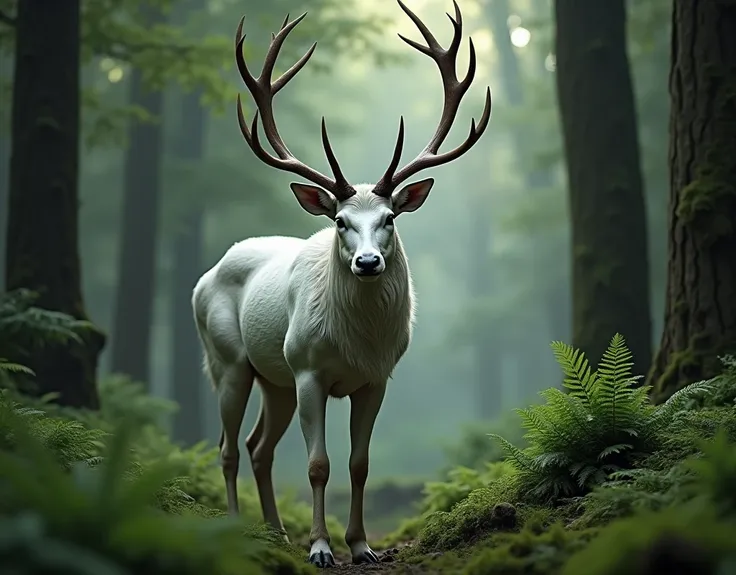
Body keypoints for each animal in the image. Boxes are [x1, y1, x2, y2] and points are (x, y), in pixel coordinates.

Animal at [196, 0, 492, 568]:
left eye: (390, 218)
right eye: (340, 221)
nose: (368, 262)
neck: (356, 343)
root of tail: (207, 275)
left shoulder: (376, 379)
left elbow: (359, 463)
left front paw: (360, 546)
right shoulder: (309, 370)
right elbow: (319, 465)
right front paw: (320, 548)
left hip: (275, 378)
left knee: (258, 446)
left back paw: (275, 532)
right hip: (229, 361)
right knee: (226, 448)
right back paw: (239, 529)